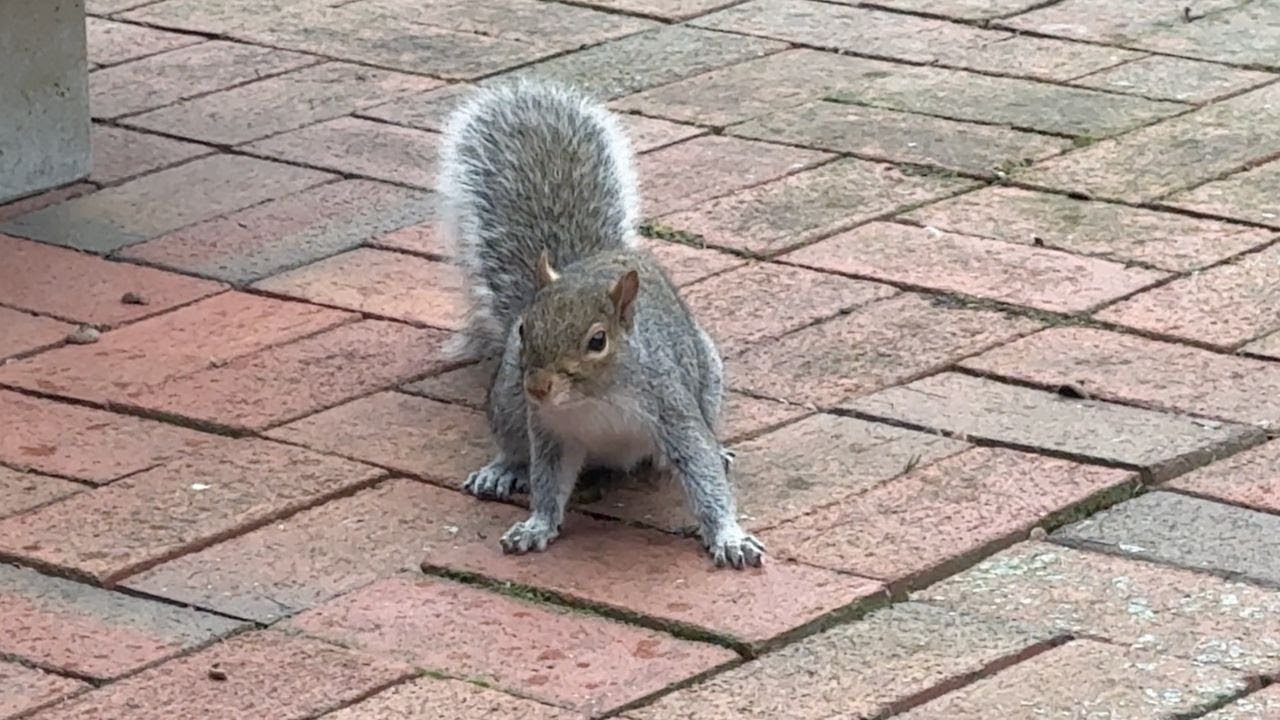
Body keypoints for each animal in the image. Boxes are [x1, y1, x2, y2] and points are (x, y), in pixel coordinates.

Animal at [436, 78, 764, 569]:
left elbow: (702, 472)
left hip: (708, 381)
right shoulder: (548, 431)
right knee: (514, 446)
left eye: (597, 341)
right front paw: (536, 525)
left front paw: (729, 535)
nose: (538, 387)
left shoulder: (673, 410)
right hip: (507, 403)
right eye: (522, 329)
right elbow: (547, 482)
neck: (593, 400)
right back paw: (503, 470)